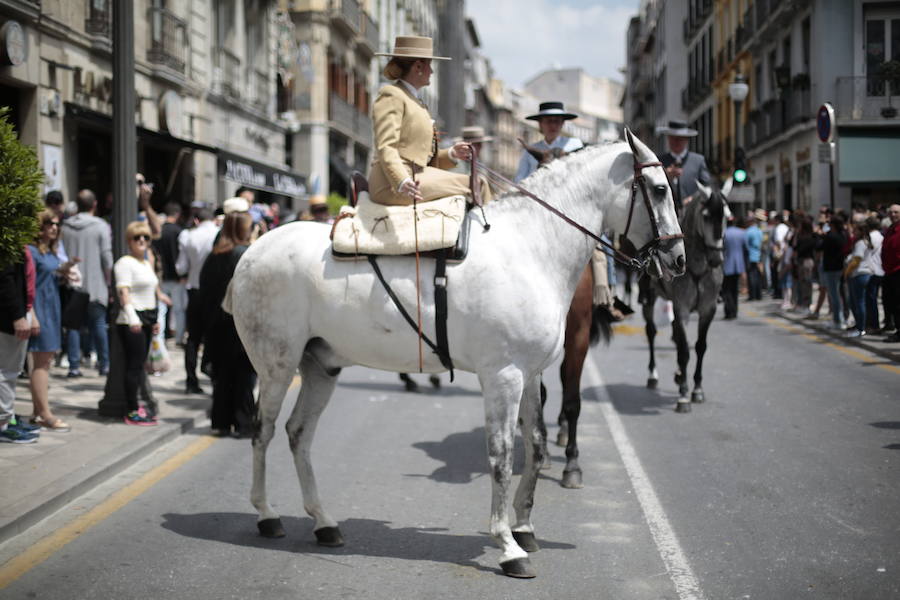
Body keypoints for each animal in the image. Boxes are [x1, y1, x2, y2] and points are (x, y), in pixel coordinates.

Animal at [223, 130, 684, 576]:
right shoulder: (503, 376)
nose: (678, 258)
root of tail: (254, 251)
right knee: (263, 432)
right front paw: (508, 545)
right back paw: (267, 515)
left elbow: (535, 445)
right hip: (276, 365)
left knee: (298, 433)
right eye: (660, 189)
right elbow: (502, 454)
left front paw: (525, 526)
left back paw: (323, 523)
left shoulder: (530, 374)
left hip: (321, 367)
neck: (531, 249)